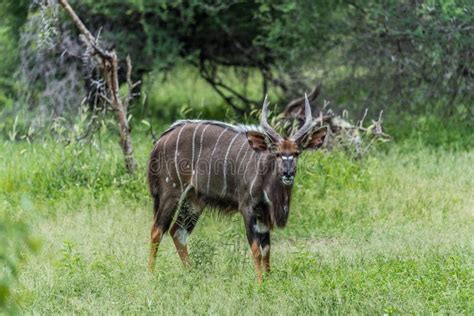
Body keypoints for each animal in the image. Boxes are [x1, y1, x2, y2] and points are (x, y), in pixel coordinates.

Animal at [147, 94, 326, 282]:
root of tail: (159, 142)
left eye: (297, 153)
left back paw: (191, 273)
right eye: (277, 153)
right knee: (157, 230)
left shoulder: (263, 213)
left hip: (193, 200)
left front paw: (269, 279)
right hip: (171, 192)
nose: (288, 173)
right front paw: (260, 282)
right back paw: (151, 275)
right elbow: (256, 249)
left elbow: (267, 250)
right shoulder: (247, 208)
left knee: (177, 232)